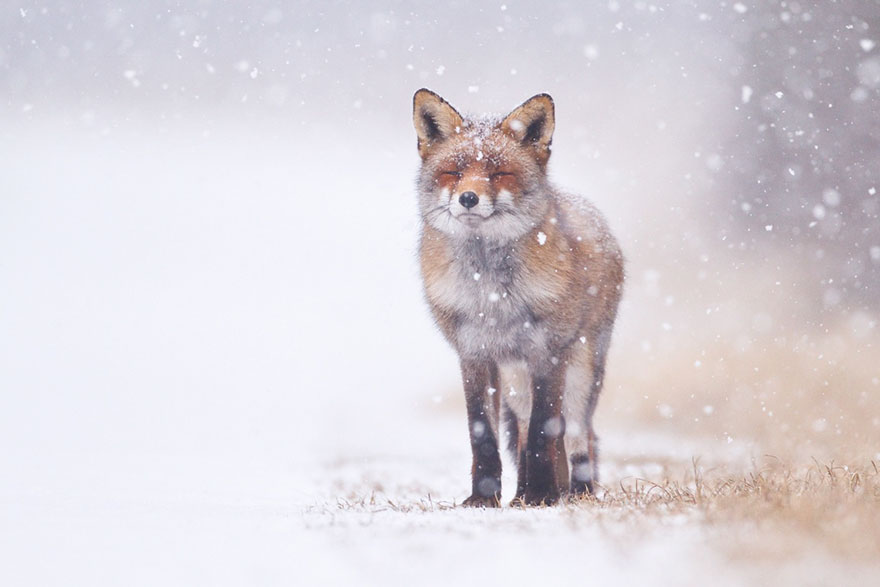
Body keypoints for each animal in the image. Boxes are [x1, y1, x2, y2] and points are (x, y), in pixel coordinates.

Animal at [413, 89, 624, 507]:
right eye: (454, 172)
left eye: (499, 174)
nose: (468, 198)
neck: (491, 294)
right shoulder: (474, 354)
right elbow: (484, 434)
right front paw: (484, 499)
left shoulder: (548, 352)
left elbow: (546, 431)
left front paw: (543, 495)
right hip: (514, 380)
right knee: (525, 430)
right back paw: (522, 493)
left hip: (581, 371)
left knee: (579, 435)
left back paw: (575, 492)